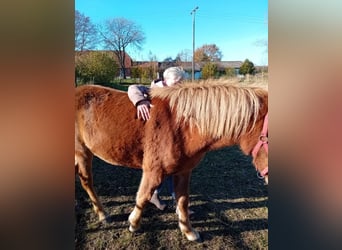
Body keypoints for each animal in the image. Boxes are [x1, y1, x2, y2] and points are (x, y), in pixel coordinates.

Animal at [74, 80, 268, 240]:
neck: (182, 125)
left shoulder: (183, 171)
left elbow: (182, 201)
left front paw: (188, 231)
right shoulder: (153, 171)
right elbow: (143, 197)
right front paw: (134, 224)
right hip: (82, 151)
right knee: (87, 181)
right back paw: (102, 213)